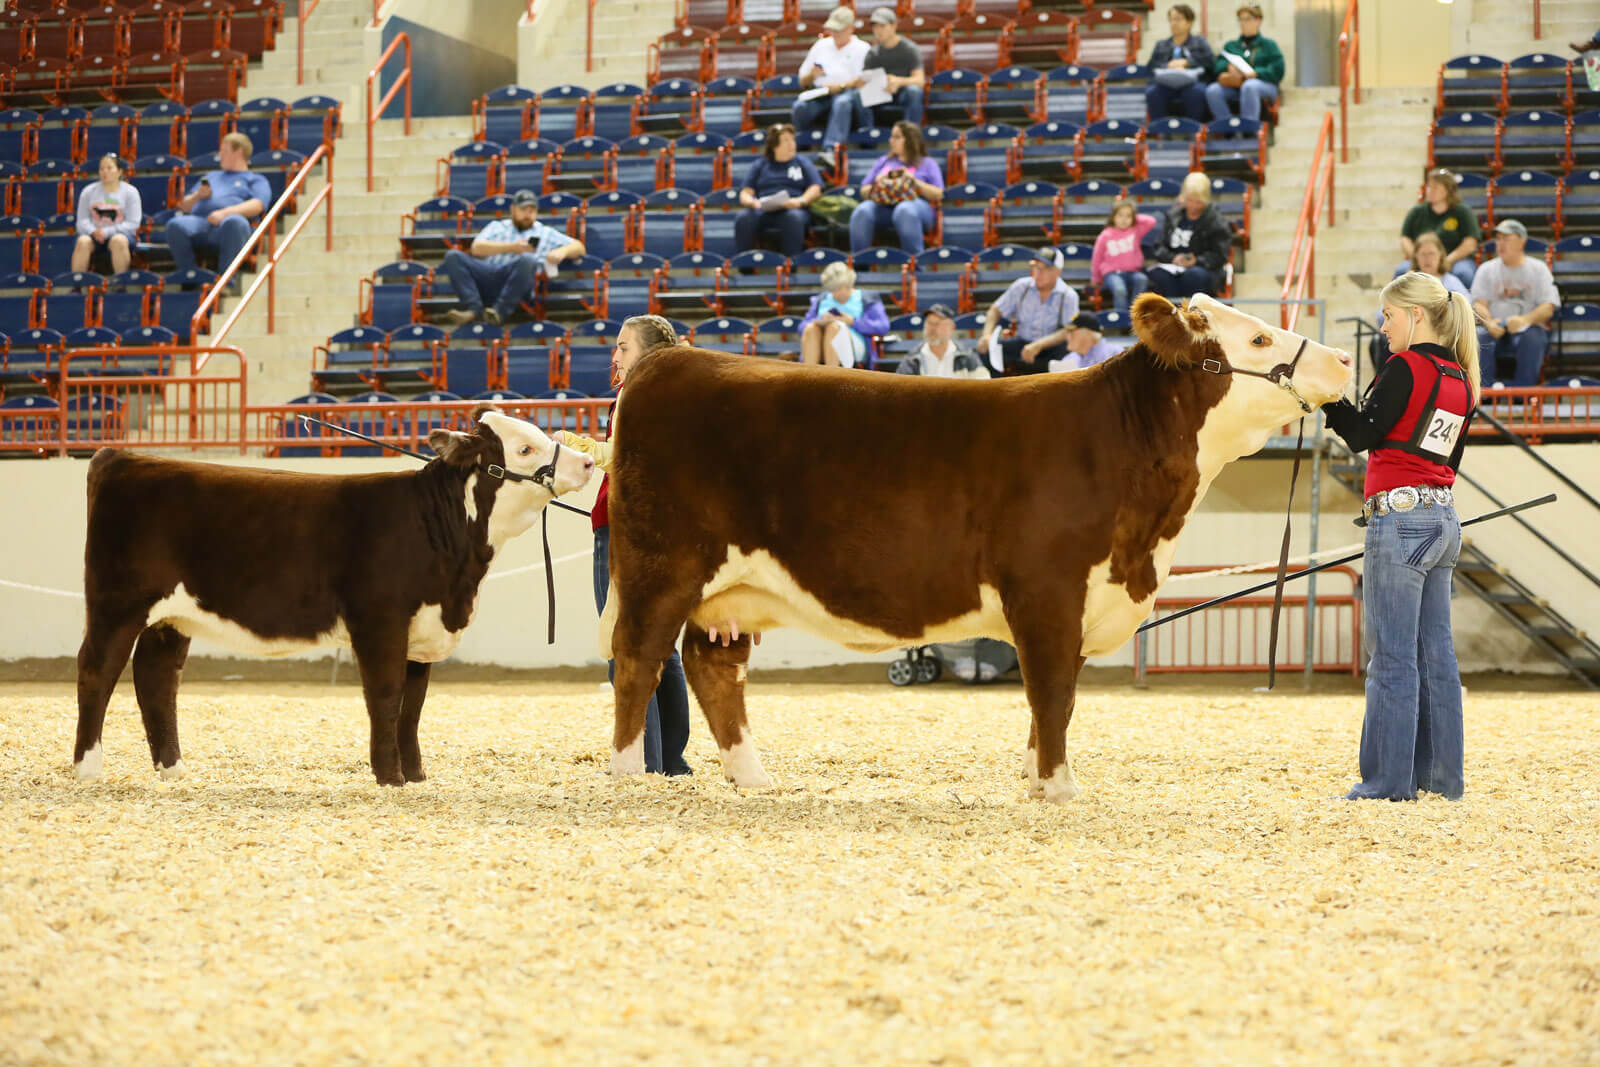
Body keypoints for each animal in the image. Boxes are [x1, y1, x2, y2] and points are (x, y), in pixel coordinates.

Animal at [73, 408, 594, 786]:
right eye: (525, 448)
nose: (588, 462)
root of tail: (123, 458)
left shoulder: (421, 629)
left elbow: (414, 706)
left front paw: (416, 776)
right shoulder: (380, 620)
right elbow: (386, 696)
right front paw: (389, 779)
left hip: (171, 618)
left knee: (157, 678)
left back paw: (174, 770)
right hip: (117, 602)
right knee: (98, 670)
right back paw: (88, 769)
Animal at [600, 293, 1354, 802]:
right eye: (1257, 337)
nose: (1345, 358)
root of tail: (671, 359)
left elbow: (1058, 696)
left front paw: (1037, 777)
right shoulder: (1047, 589)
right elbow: (1051, 690)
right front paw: (1059, 787)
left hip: (730, 588)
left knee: (713, 667)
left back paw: (752, 776)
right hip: (661, 565)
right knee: (639, 658)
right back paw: (628, 774)